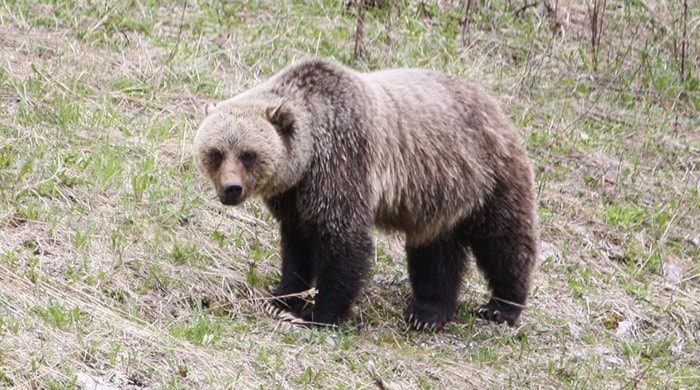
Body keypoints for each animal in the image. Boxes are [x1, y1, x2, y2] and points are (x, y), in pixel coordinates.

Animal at [194, 58, 540, 330]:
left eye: (248, 154)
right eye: (216, 152)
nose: (231, 188)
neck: (307, 157)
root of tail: (493, 104)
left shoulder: (342, 163)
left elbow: (343, 240)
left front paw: (320, 314)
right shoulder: (294, 195)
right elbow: (297, 247)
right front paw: (283, 297)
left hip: (489, 175)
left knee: (504, 240)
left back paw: (501, 306)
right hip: (439, 195)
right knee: (435, 252)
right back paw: (427, 312)